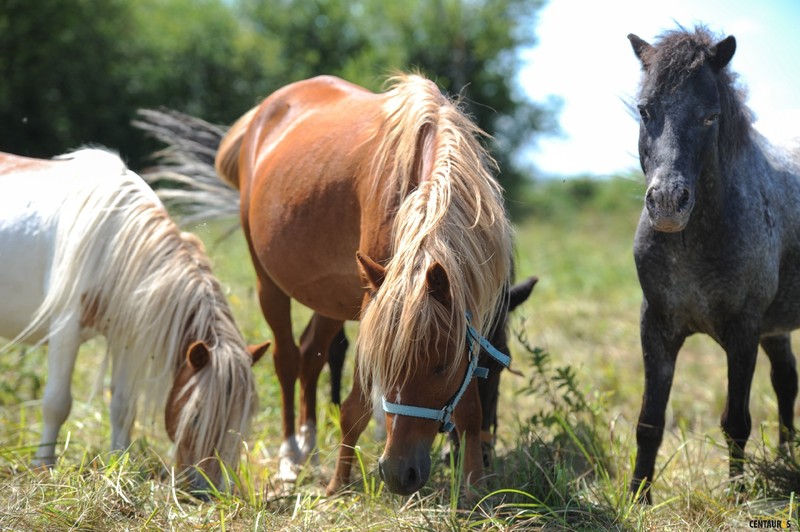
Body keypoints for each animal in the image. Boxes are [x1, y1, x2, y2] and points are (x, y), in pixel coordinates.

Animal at [0, 149, 268, 490]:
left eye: (242, 422)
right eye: (195, 417)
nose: (206, 492)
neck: (113, 240)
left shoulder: (125, 336)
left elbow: (123, 407)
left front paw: (118, 465)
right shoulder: (65, 329)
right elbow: (56, 404)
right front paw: (43, 466)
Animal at [138, 74, 512, 494]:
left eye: (441, 366)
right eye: (384, 363)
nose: (399, 474)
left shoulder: (464, 314)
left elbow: (469, 410)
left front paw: (475, 489)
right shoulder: (376, 304)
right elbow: (354, 407)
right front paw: (338, 485)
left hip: (332, 298)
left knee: (310, 355)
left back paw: (311, 447)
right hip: (270, 285)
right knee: (287, 360)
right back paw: (290, 455)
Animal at [632, 27, 800, 502]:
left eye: (710, 117)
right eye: (644, 109)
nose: (667, 202)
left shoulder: (744, 331)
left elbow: (735, 422)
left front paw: (738, 496)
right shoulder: (657, 327)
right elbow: (649, 422)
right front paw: (637, 498)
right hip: (776, 329)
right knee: (787, 381)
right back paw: (784, 460)